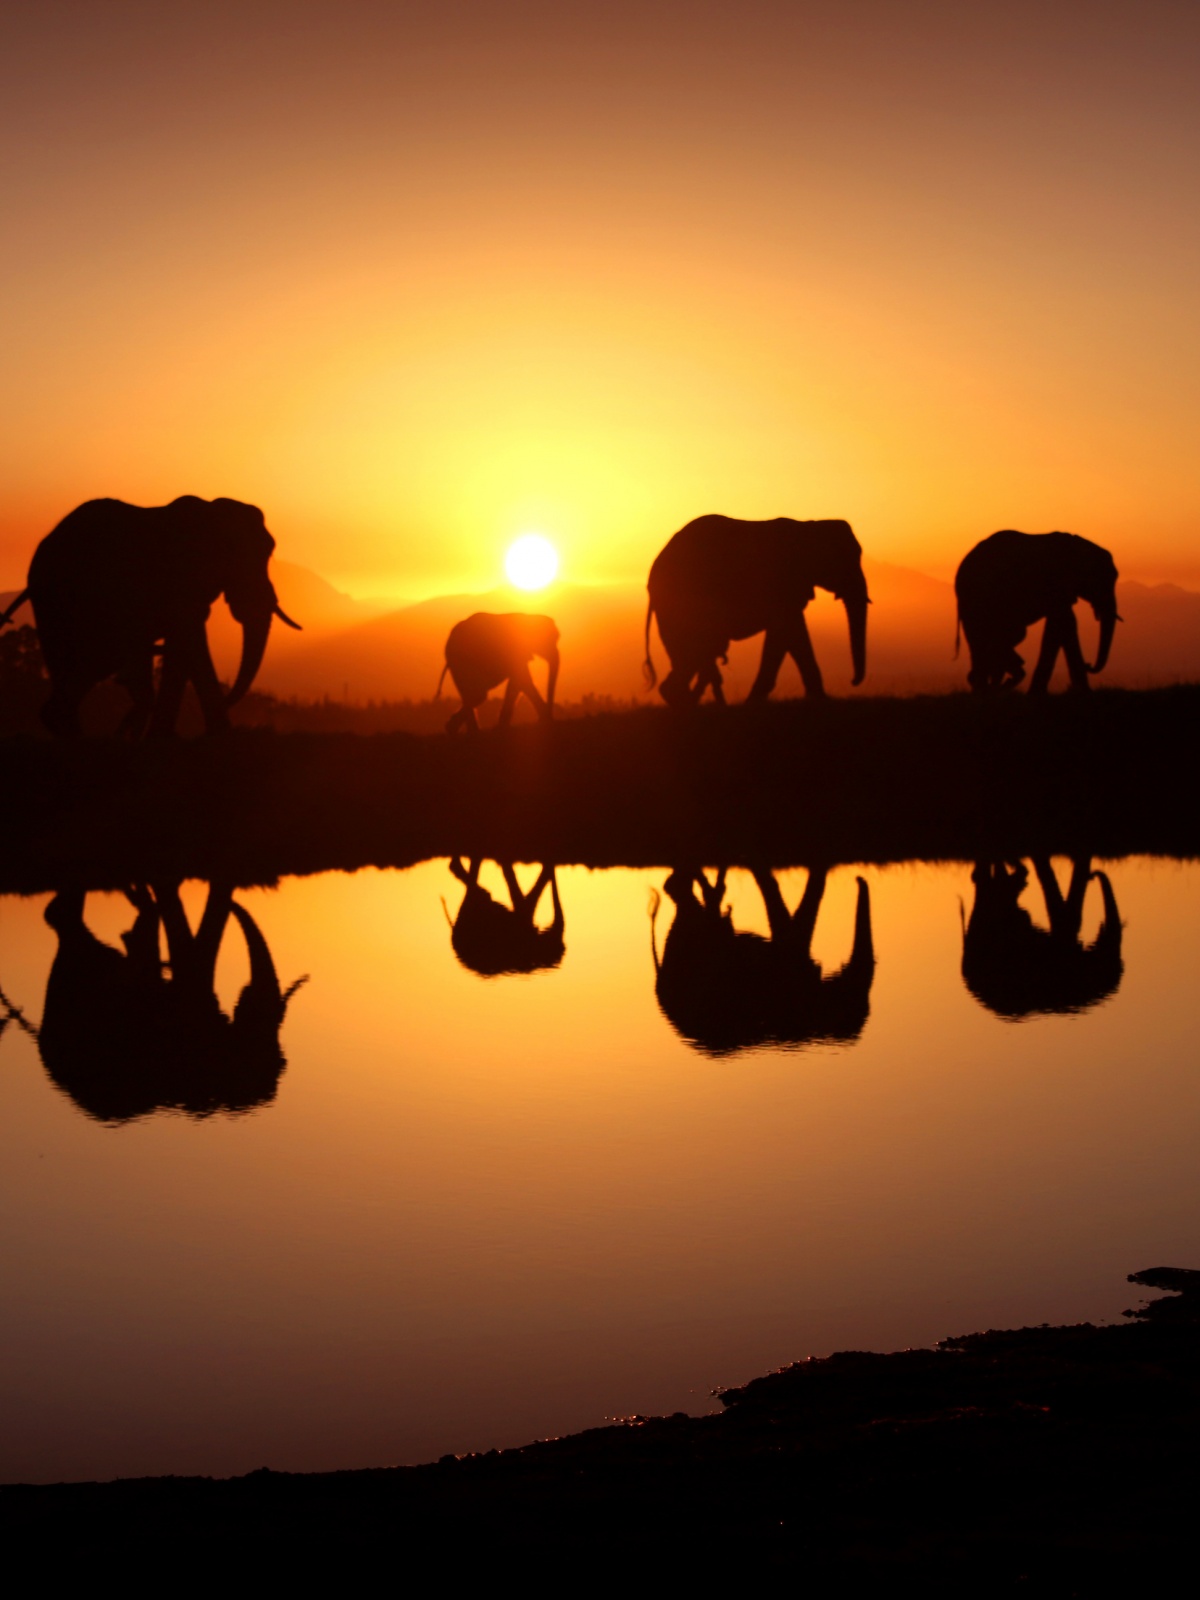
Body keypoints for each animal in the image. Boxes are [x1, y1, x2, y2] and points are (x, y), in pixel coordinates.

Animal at [2, 495, 300, 737]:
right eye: (233, 554)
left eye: (269, 551)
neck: (208, 511)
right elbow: (190, 637)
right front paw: (215, 735)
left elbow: (183, 646)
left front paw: (167, 736)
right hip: (60, 598)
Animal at [643, 516, 869, 707]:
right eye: (846, 559)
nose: (853, 681)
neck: (809, 526)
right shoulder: (782, 584)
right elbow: (786, 633)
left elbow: (792, 636)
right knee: (694, 651)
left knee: (691, 654)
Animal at [954, 530, 1119, 694]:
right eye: (1101, 580)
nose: (1088, 664)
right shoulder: (1055, 584)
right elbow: (1061, 624)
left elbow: (1065, 624)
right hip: (977, 601)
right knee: (987, 640)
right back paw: (988, 688)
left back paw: (990, 686)